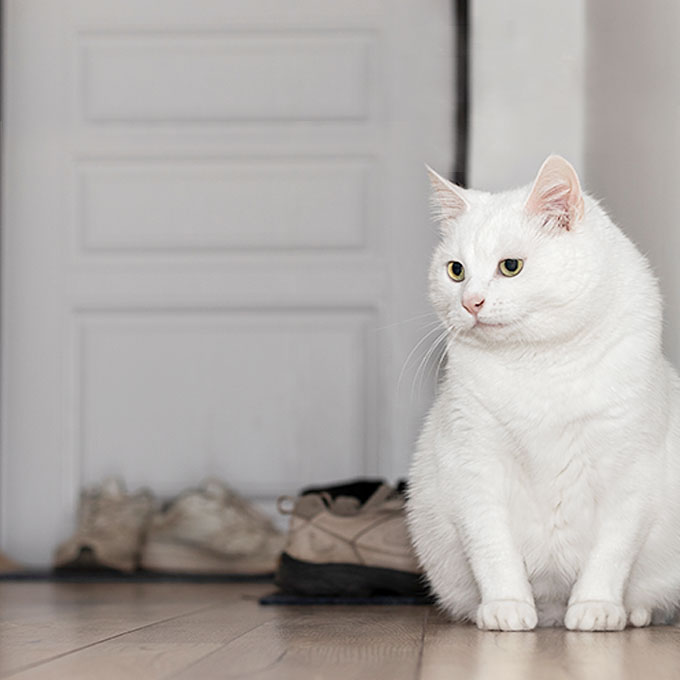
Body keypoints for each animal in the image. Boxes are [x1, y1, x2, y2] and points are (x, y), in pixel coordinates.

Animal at [406, 155, 676, 632]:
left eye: (510, 266)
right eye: (455, 270)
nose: (470, 302)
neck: (537, 363)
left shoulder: (630, 475)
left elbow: (611, 552)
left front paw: (596, 609)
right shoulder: (475, 467)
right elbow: (492, 548)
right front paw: (505, 607)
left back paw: (635, 613)